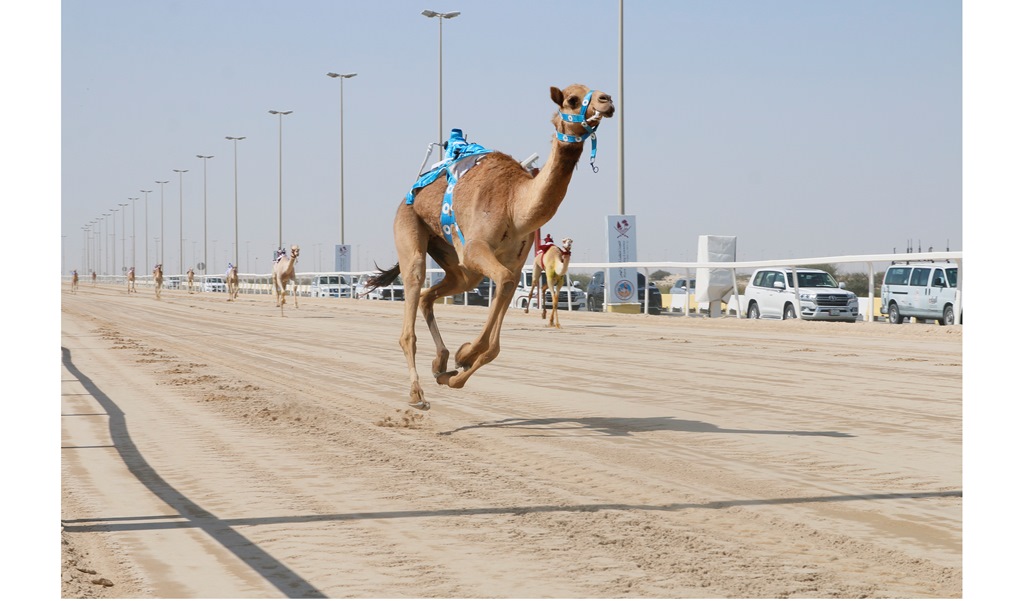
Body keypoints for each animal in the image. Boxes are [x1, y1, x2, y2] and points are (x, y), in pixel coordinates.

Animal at [364, 83, 610, 409]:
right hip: (410, 229)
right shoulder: (475, 249)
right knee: (413, 294)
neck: (514, 205)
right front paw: (465, 353)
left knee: (433, 294)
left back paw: (441, 363)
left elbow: (498, 330)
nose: (607, 101)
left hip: (455, 261)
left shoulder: (514, 265)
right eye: (571, 99)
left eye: (596, 92)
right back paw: (417, 394)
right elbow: (501, 285)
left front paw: (458, 366)